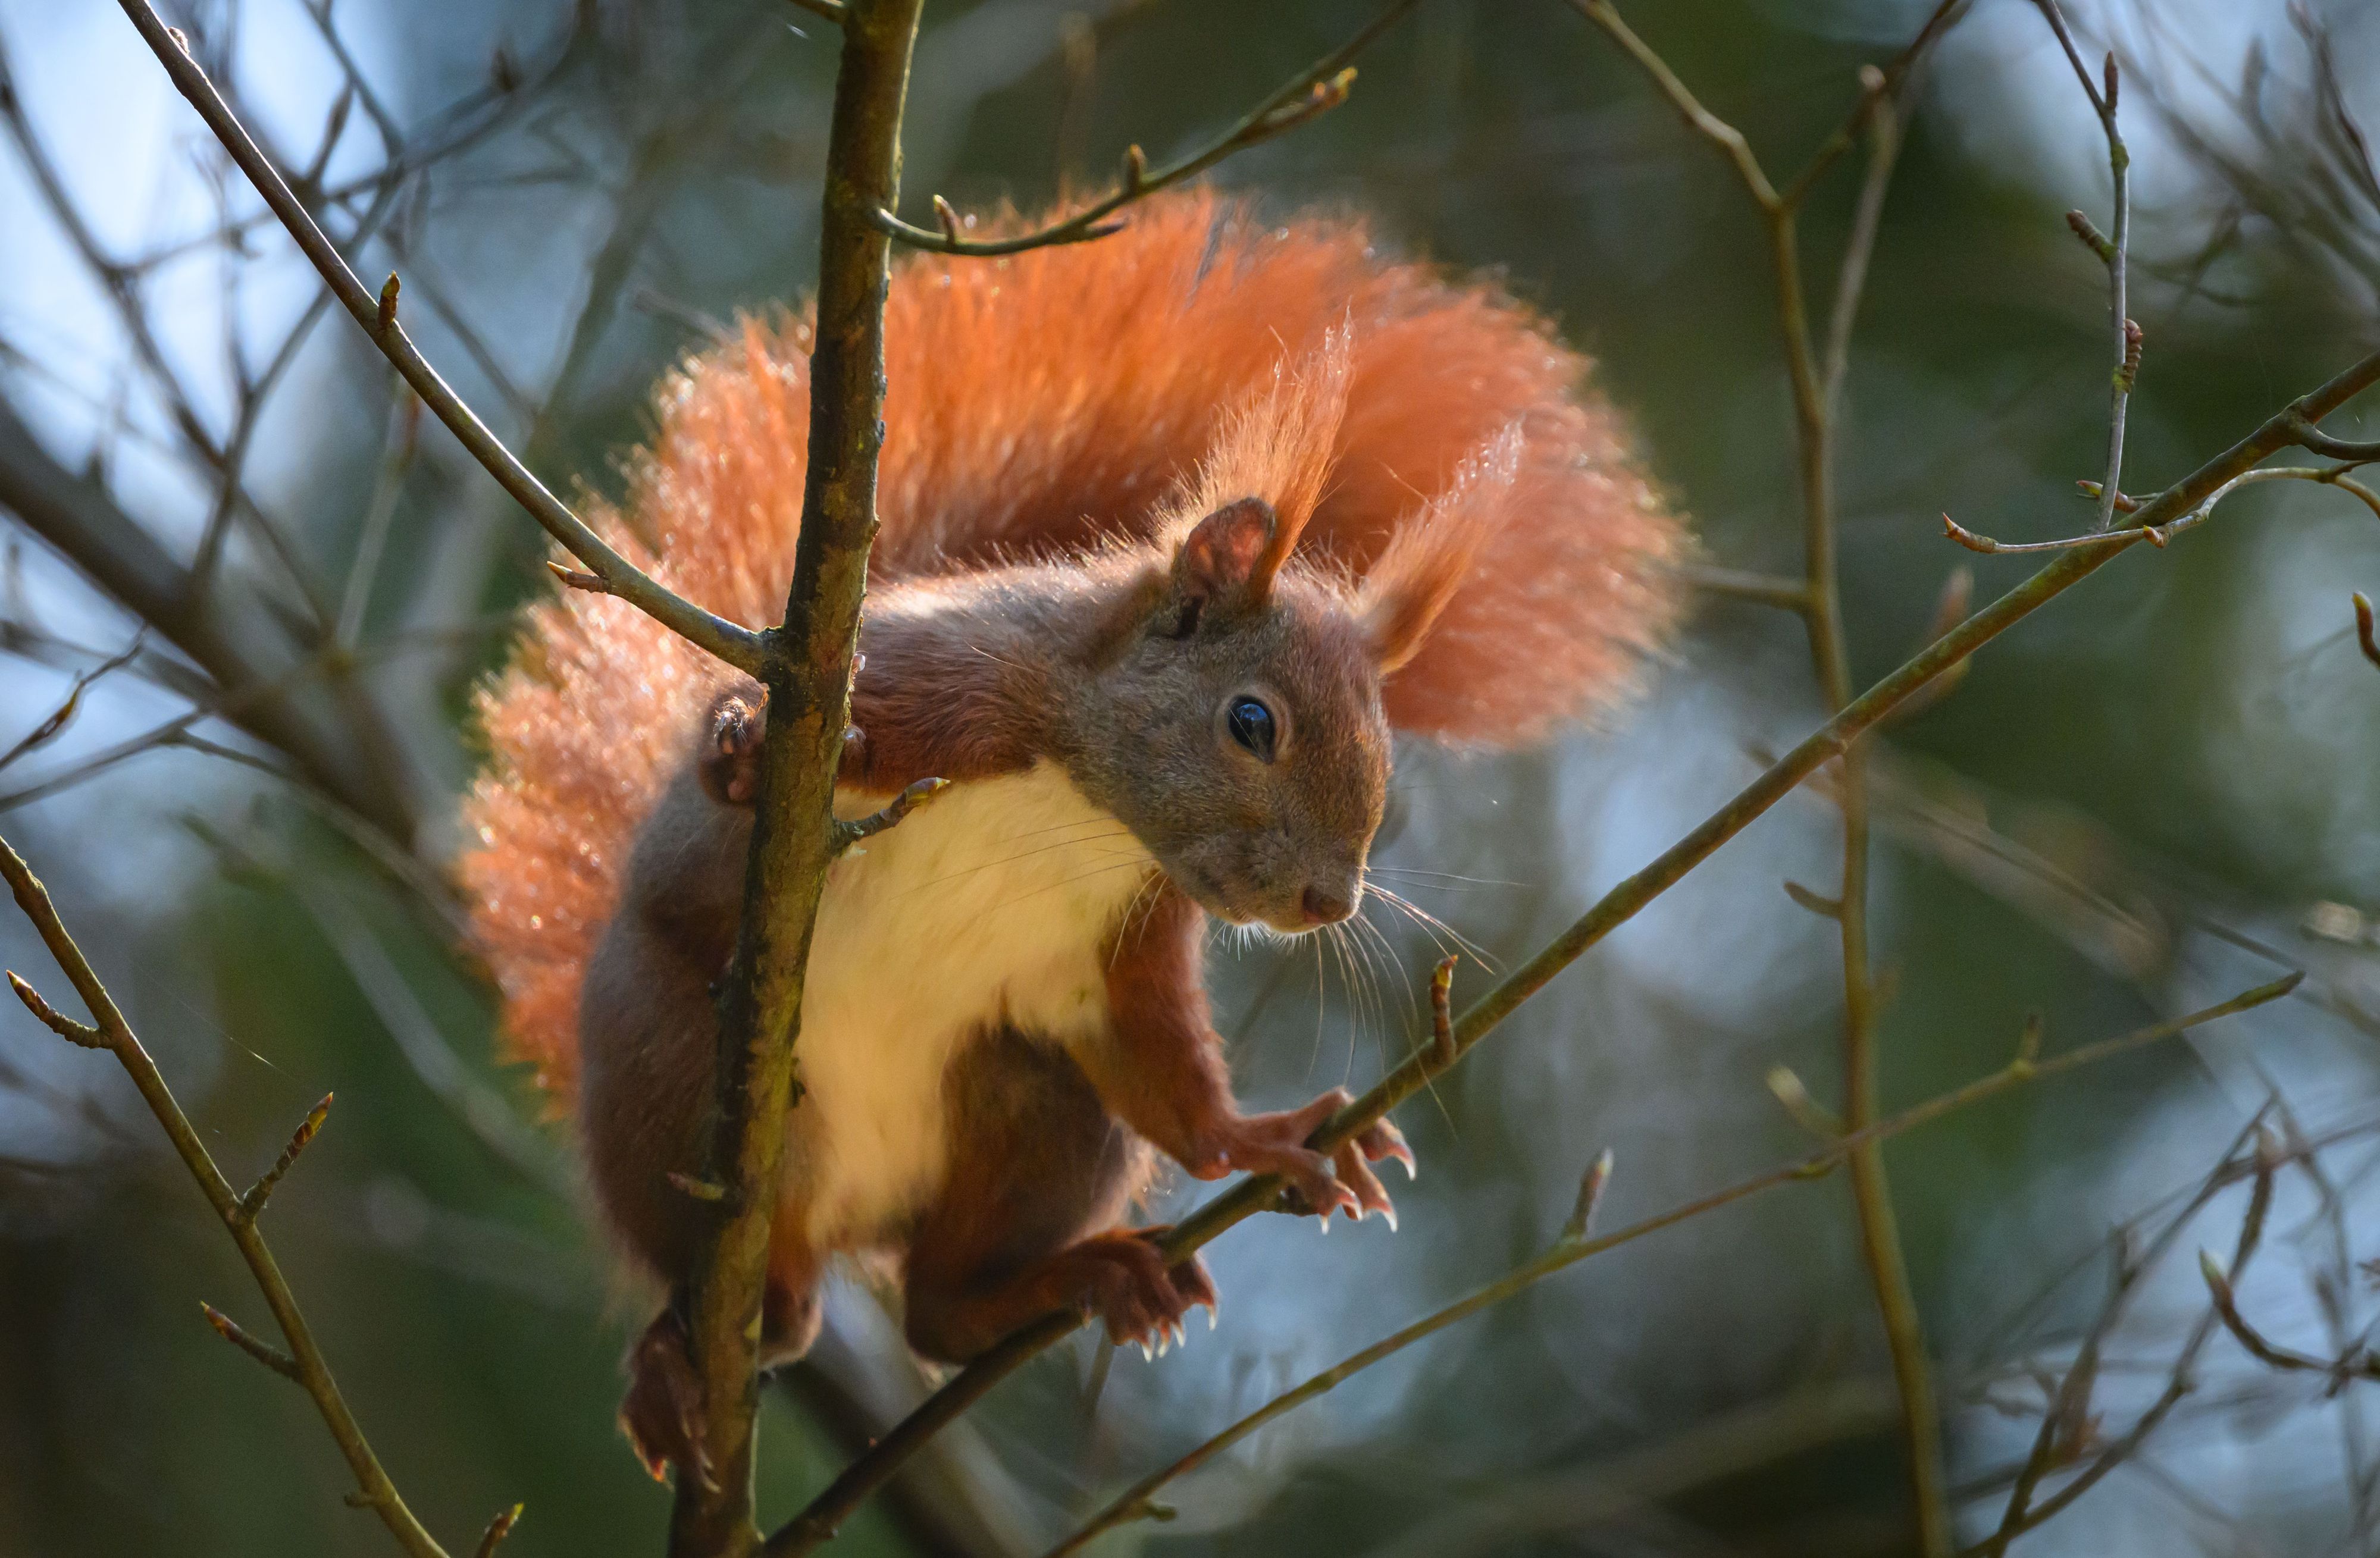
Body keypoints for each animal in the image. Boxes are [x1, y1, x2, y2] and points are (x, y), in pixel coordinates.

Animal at [460, 188, 1684, 1482]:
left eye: (1387, 761)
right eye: (1252, 720)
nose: (1329, 902)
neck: (1085, 810)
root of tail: (836, 1227)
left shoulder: (1125, 937)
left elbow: (1164, 1072)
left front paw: (1272, 1134)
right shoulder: (939, 681)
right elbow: (778, 731)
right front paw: (740, 745)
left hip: (1038, 1106)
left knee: (936, 1310)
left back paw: (1070, 1281)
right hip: (671, 1064)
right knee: (703, 1249)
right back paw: (671, 1359)